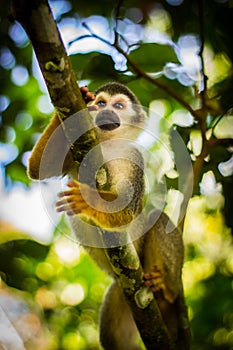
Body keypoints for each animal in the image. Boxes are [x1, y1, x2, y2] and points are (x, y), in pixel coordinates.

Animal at [28, 82, 190, 350]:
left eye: (119, 106)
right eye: (102, 103)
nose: (106, 112)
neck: (104, 143)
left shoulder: (135, 158)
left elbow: (128, 211)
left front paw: (87, 201)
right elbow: (39, 167)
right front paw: (82, 99)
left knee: (158, 220)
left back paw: (165, 286)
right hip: (123, 292)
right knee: (113, 338)